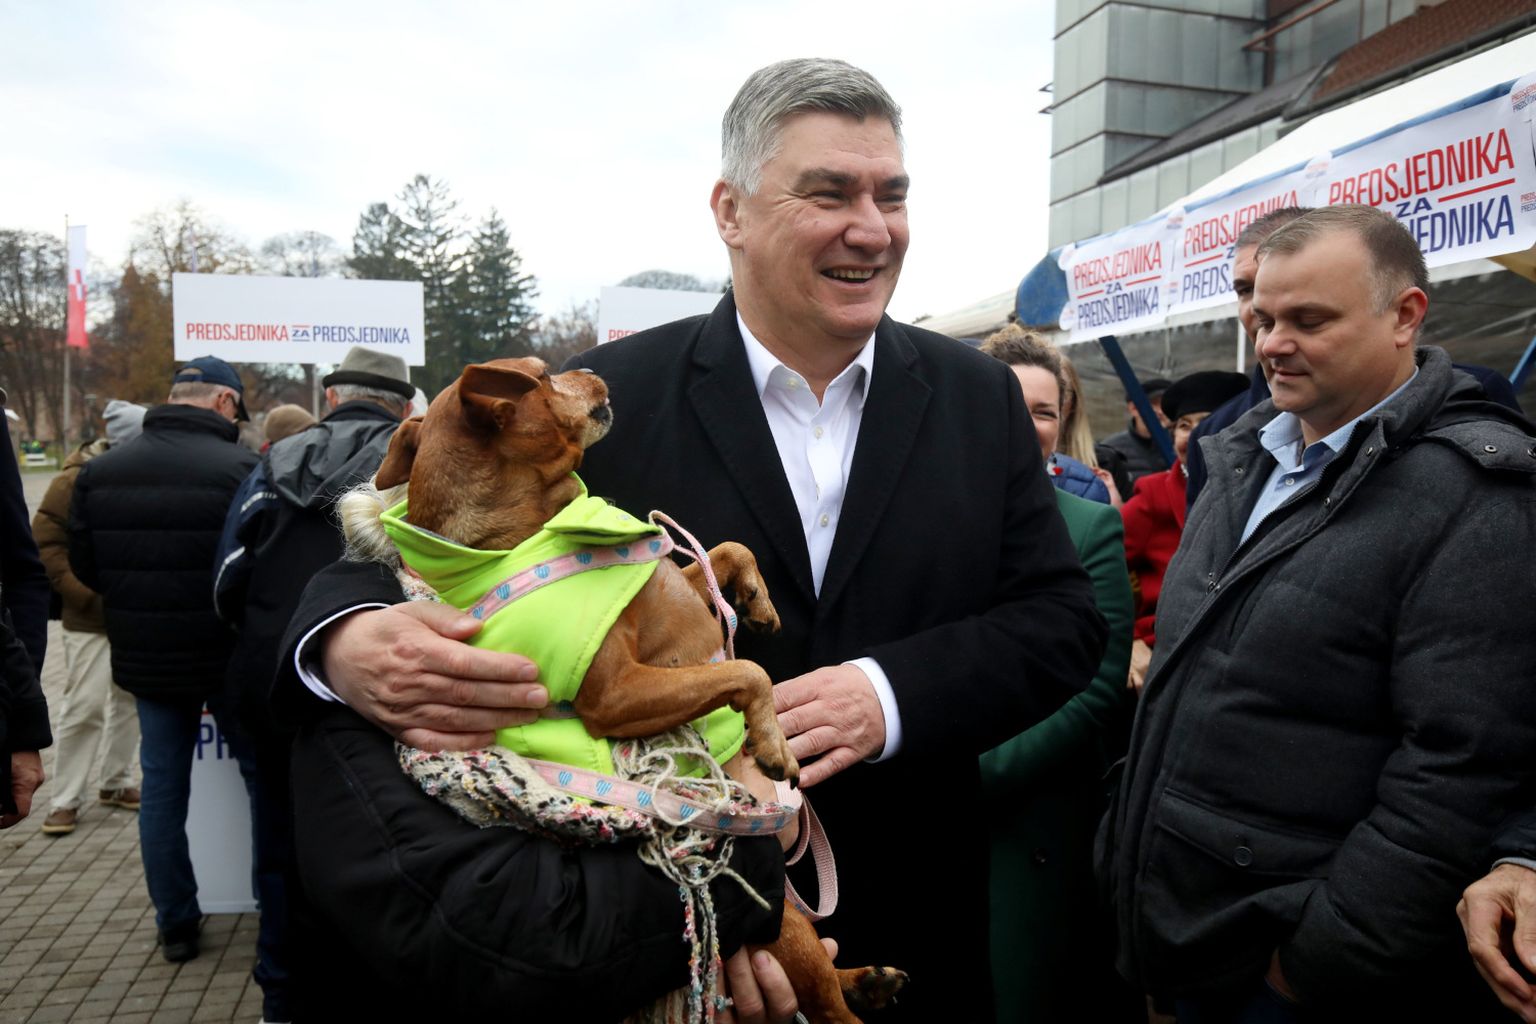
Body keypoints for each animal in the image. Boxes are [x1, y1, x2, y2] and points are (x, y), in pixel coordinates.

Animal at [346, 357, 906, 1023]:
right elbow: (747, 672)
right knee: (825, 1004)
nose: (588, 366)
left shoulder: (676, 588)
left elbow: (723, 552)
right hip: (784, 927)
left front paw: (755, 599)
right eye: (542, 376)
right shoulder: (616, 694)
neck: (532, 533)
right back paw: (854, 992)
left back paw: (868, 979)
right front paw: (772, 742)